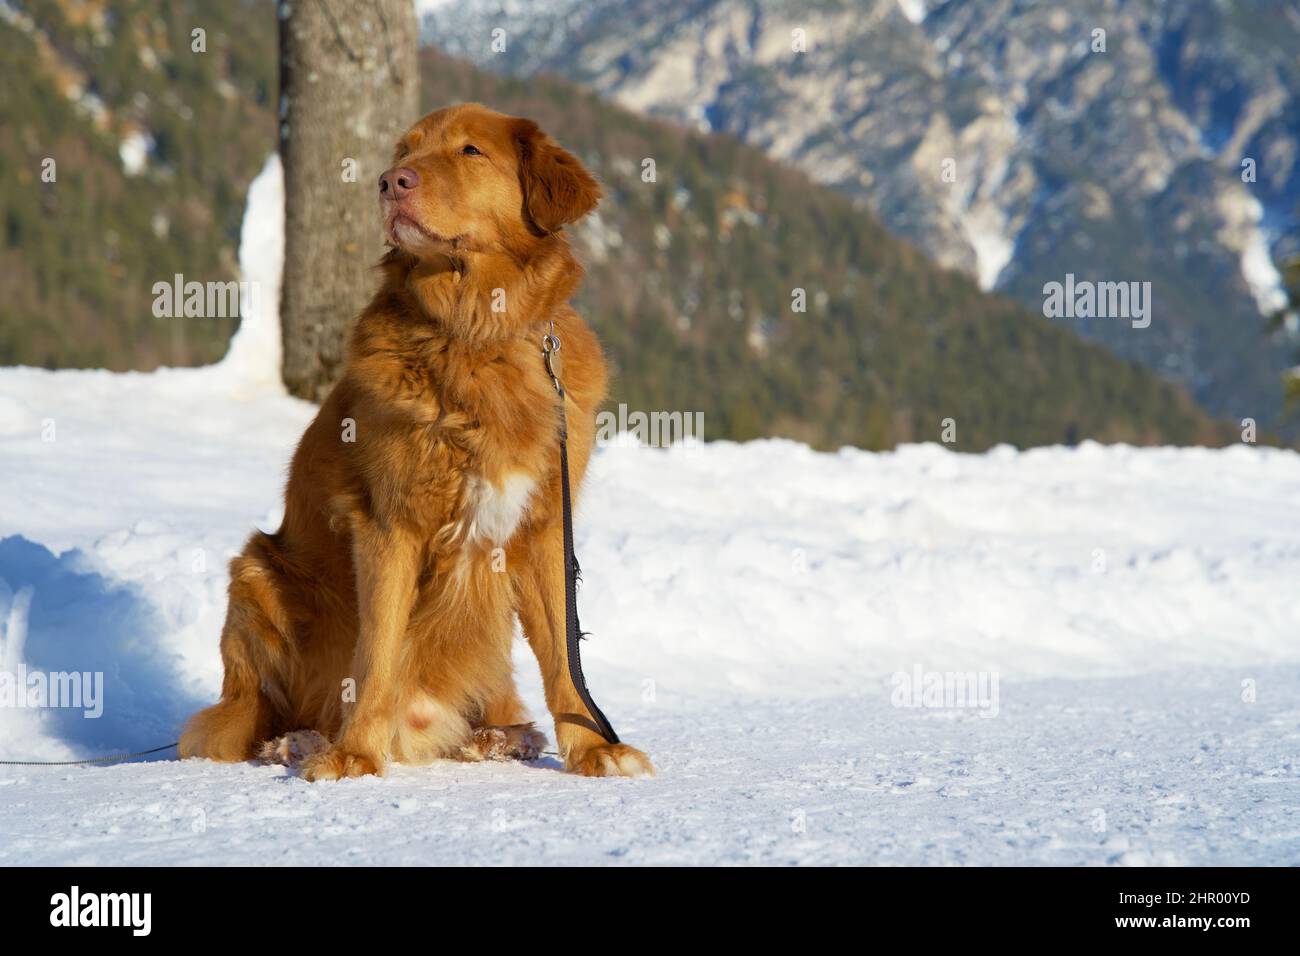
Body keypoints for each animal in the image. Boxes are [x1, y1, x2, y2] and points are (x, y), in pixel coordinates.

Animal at [175, 104, 650, 780]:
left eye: (470, 151)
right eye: (406, 152)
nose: (390, 182)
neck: (475, 333)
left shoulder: (544, 529)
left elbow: (564, 655)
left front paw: (593, 749)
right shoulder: (388, 523)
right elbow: (376, 654)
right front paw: (354, 753)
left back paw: (498, 737)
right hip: (256, 573)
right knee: (254, 715)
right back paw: (300, 742)